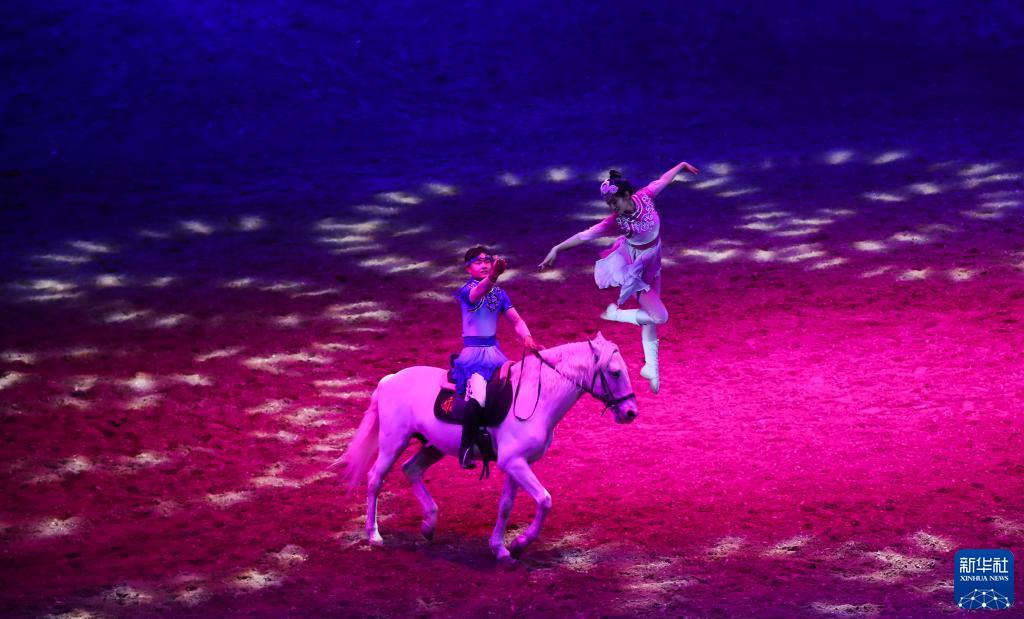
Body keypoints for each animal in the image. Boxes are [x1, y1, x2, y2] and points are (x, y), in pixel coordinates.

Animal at [332, 332, 638, 563]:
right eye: (614, 373)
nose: (631, 412)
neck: (535, 397)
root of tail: (391, 378)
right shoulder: (514, 463)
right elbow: (544, 500)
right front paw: (519, 542)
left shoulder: (518, 463)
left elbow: (506, 506)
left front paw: (502, 549)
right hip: (393, 442)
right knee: (375, 479)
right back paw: (374, 535)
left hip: (433, 447)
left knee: (411, 470)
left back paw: (429, 524)